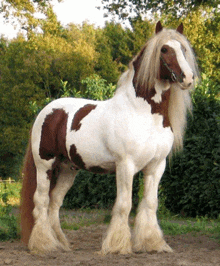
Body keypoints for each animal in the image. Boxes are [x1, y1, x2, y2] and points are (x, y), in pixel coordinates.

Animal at [21, 21, 199, 255]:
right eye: (164, 49)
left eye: (183, 49)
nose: (187, 78)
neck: (143, 112)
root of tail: (47, 111)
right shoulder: (125, 165)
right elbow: (124, 205)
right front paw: (118, 246)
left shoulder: (155, 166)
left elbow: (150, 204)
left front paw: (152, 244)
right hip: (45, 165)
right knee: (41, 201)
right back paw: (44, 244)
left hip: (68, 169)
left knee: (54, 203)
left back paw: (61, 244)